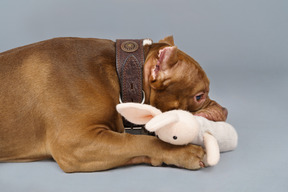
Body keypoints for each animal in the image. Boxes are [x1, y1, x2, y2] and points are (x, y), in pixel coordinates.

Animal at [0, 36, 227, 172]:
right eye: (199, 96)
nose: (225, 111)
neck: (123, 74)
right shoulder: (76, 143)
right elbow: (138, 141)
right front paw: (183, 152)